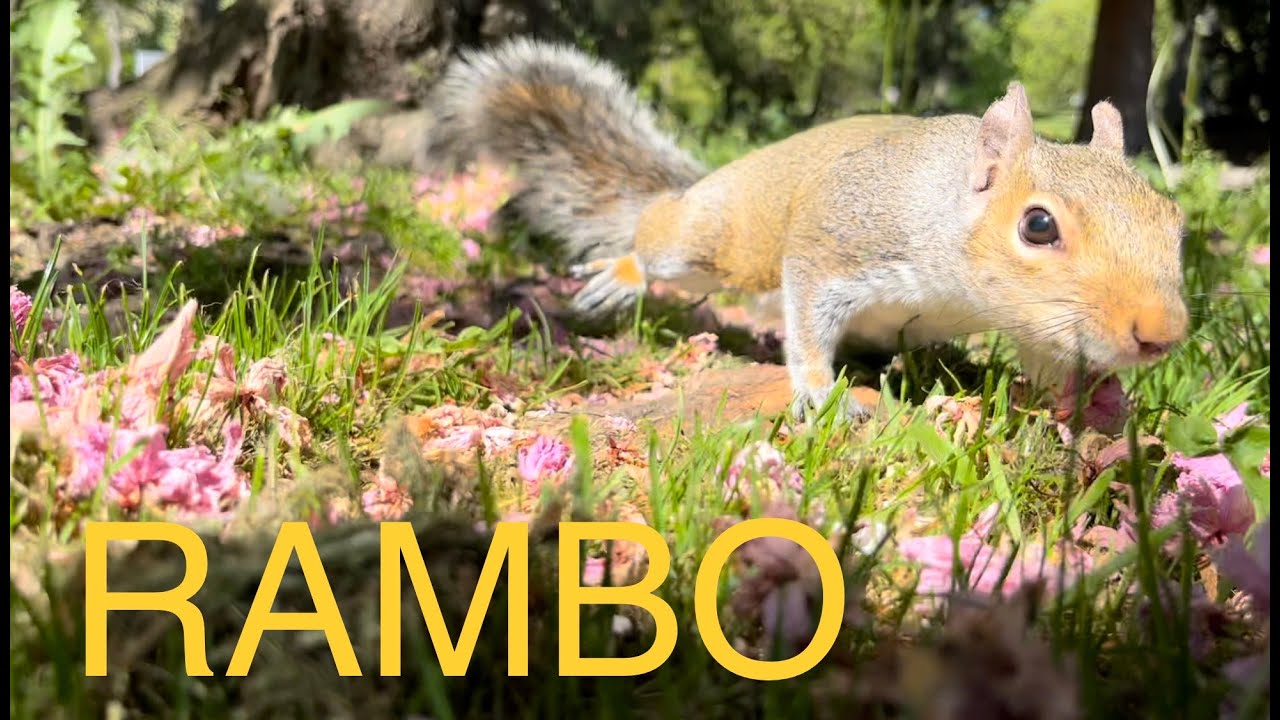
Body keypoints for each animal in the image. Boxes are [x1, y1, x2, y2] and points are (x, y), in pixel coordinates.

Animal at [426, 37, 1189, 421]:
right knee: (661, 239)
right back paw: (624, 273)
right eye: (1037, 225)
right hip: (713, 237)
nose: (1162, 336)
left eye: (1175, 222)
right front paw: (822, 391)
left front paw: (1089, 406)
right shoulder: (839, 241)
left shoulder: (1035, 324)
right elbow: (808, 319)